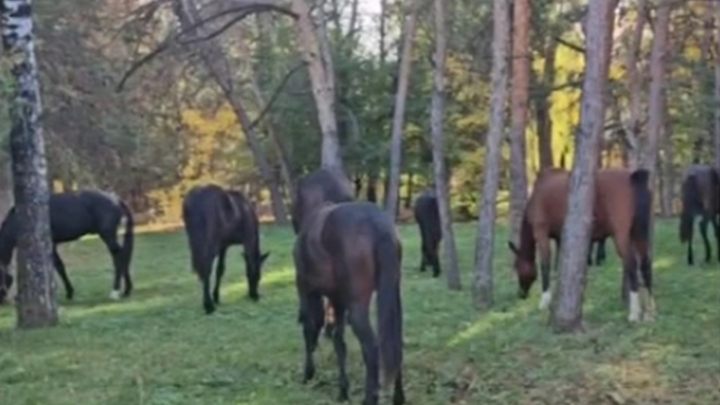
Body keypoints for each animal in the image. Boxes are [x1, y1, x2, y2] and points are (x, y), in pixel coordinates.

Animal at [0, 191, 134, 302]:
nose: (2, 300)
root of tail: (115, 199)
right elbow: (56, 267)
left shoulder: (51, 245)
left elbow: (59, 267)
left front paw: (69, 292)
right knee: (123, 256)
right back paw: (127, 290)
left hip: (108, 236)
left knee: (119, 257)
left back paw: (115, 292)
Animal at [181, 185, 268, 314]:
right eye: (258, 276)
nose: (254, 295)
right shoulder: (245, 240)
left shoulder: (223, 245)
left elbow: (220, 269)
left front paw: (216, 296)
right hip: (211, 244)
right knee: (206, 268)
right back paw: (208, 305)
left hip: (195, 241)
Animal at [294, 201, 404, 404]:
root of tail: (379, 227)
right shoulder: (337, 300)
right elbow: (339, 342)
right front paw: (343, 390)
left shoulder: (307, 291)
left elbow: (310, 329)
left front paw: (308, 373)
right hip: (393, 298)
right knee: (395, 344)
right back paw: (398, 397)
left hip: (356, 308)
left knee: (371, 346)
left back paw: (370, 398)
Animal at [506, 167, 660, 322]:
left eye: (517, 267)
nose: (521, 294)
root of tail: (634, 177)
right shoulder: (560, 237)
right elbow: (559, 264)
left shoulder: (541, 232)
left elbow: (545, 266)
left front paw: (545, 300)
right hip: (639, 235)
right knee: (646, 265)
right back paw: (650, 312)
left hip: (622, 237)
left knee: (632, 265)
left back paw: (634, 313)